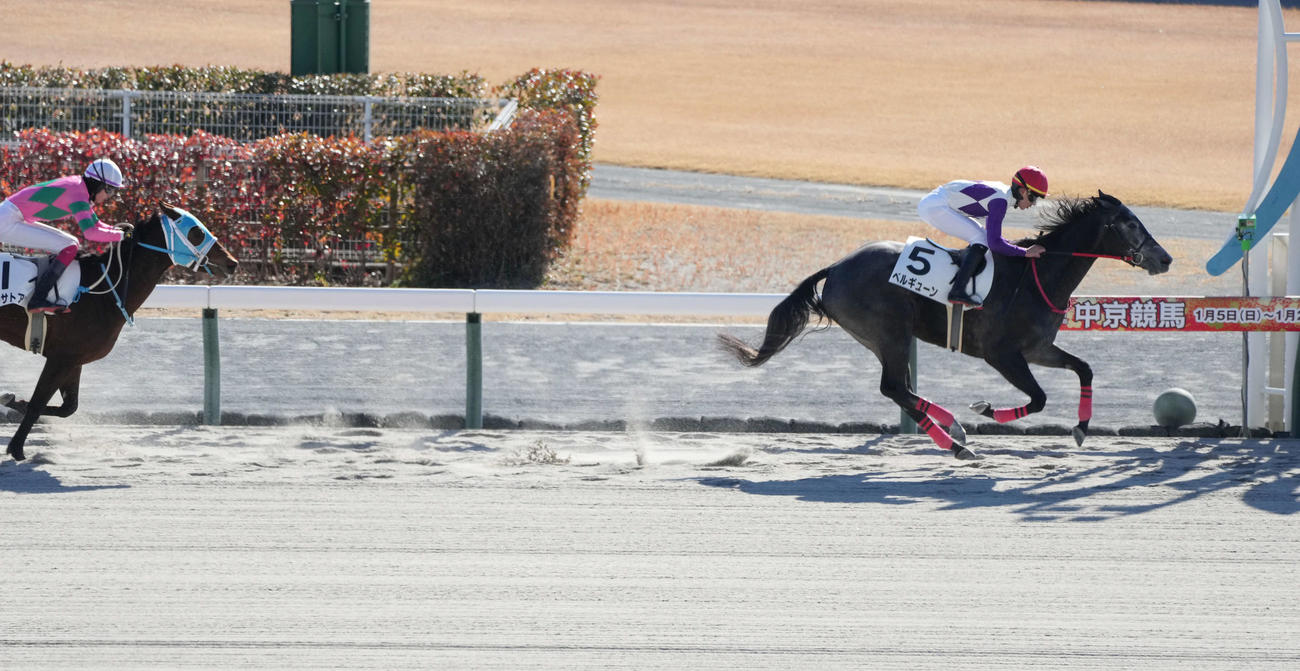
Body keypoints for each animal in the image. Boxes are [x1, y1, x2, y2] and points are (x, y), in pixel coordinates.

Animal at [0, 204, 239, 461]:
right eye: (197, 232)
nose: (232, 262)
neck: (103, 289)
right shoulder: (61, 357)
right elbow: (38, 402)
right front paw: (16, 448)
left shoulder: (73, 359)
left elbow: (68, 407)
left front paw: (13, 400)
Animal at [718, 191, 1172, 459]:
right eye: (1130, 223)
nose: (1165, 258)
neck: (1037, 276)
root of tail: (837, 267)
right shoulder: (1001, 354)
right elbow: (1040, 398)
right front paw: (987, 409)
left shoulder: (1038, 348)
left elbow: (1084, 369)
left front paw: (1080, 428)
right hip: (890, 332)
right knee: (894, 388)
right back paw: (954, 443)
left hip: (884, 338)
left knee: (902, 390)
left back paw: (952, 427)